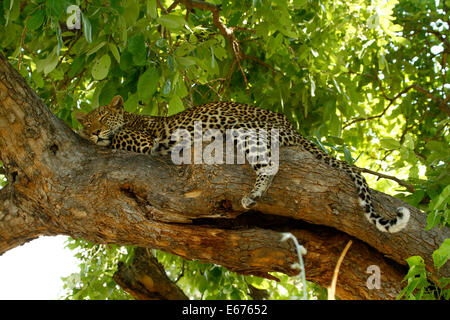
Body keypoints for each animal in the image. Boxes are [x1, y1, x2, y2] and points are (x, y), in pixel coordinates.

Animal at [77, 95, 412, 232]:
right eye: (87, 123)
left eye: (103, 118)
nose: (93, 132)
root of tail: (294, 128)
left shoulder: (142, 140)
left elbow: (121, 138)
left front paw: (105, 140)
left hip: (245, 129)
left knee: (270, 165)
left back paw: (253, 193)